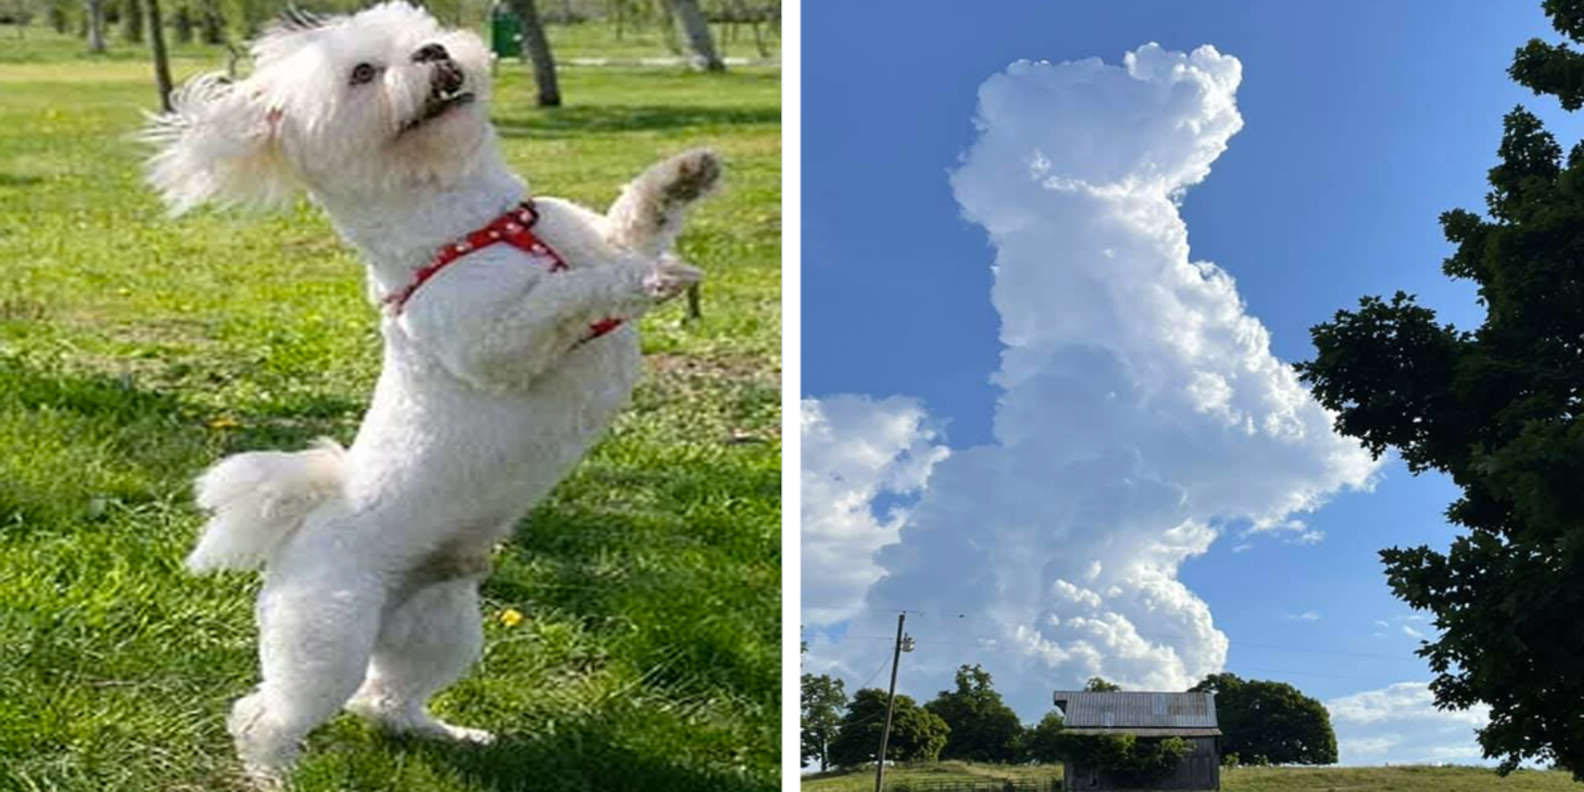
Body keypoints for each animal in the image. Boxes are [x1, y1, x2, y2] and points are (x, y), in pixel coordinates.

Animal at [142, 3, 725, 785]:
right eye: (363, 73)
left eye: (423, 35)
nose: (433, 55)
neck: (479, 227)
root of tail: (306, 523)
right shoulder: (496, 341)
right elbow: (567, 294)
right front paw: (645, 280)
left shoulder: (596, 234)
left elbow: (636, 218)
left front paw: (683, 177)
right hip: (325, 641)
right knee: (266, 713)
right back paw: (274, 771)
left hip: (440, 628)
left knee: (384, 699)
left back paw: (444, 734)